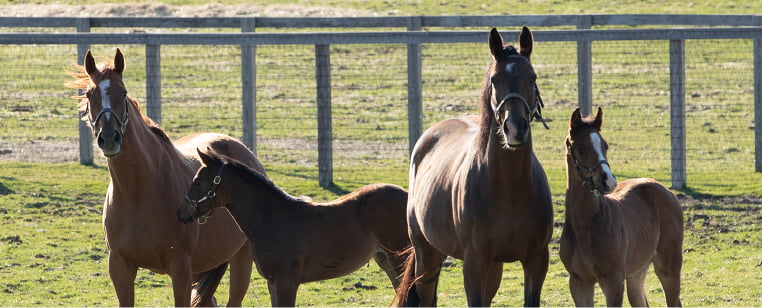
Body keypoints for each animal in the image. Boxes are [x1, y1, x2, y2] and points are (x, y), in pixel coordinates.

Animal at [65, 48, 262, 306]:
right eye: (89, 94)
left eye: (123, 92)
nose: (109, 138)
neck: (138, 192)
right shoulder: (120, 267)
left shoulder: (180, 270)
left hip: (241, 258)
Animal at [176, 148, 412, 306]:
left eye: (197, 181)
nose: (181, 212)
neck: (273, 219)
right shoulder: (273, 282)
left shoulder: (286, 281)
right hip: (386, 260)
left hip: (400, 258)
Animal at [392, 26, 552, 306]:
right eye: (494, 80)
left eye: (532, 77)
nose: (515, 129)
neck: (509, 187)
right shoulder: (474, 263)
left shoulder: (536, 261)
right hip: (427, 254)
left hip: (492, 265)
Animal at [560, 107, 684, 306]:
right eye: (581, 148)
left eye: (605, 146)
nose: (608, 181)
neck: (584, 226)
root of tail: (666, 191)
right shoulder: (578, 281)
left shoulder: (614, 281)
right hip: (636, 272)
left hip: (668, 266)